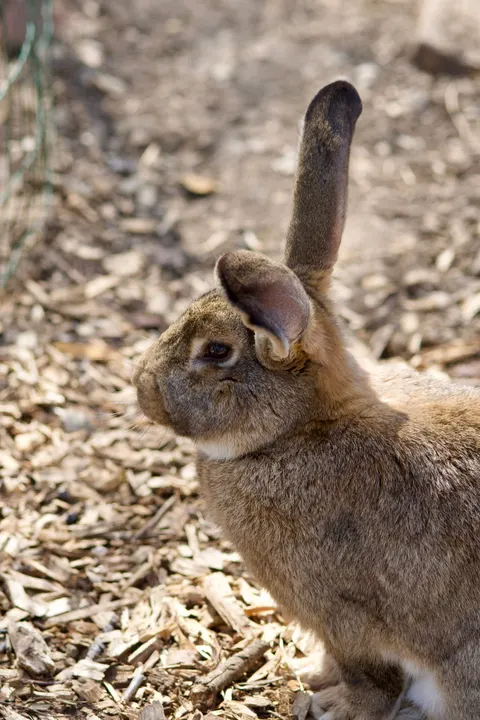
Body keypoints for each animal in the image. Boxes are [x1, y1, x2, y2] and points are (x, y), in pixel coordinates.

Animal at [132, 80, 480, 720]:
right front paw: (314, 677)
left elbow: (372, 677)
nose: (142, 388)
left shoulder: (345, 618)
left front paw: (332, 703)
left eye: (216, 351)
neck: (302, 431)